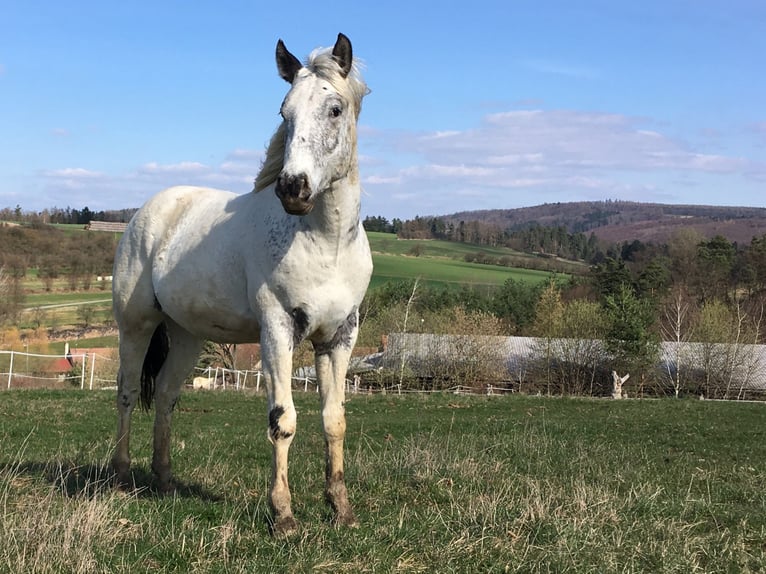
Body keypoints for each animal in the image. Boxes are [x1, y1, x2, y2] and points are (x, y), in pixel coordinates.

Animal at [111, 32, 372, 536]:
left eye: (334, 109)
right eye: (284, 113)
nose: (292, 189)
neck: (326, 243)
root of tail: (149, 210)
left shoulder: (339, 336)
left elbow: (334, 421)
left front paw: (343, 511)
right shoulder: (278, 329)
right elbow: (283, 420)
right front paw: (284, 516)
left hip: (186, 334)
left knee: (167, 396)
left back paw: (165, 480)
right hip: (136, 326)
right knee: (128, 392)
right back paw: (118, 477)